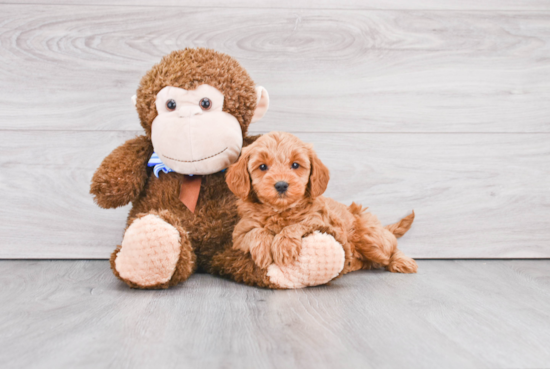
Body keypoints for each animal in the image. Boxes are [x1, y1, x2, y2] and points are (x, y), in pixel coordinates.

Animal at [224, 132, 418, 274]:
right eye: (262, 167)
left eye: (295, 165)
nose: (281, 185)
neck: (280, 211)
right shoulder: (239, 233)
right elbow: (255, 231)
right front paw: (263, 250)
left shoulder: (320, 221)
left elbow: (296, 225)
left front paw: (284, 246)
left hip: (370, 239)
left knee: (390, 250)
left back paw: (402, 262)